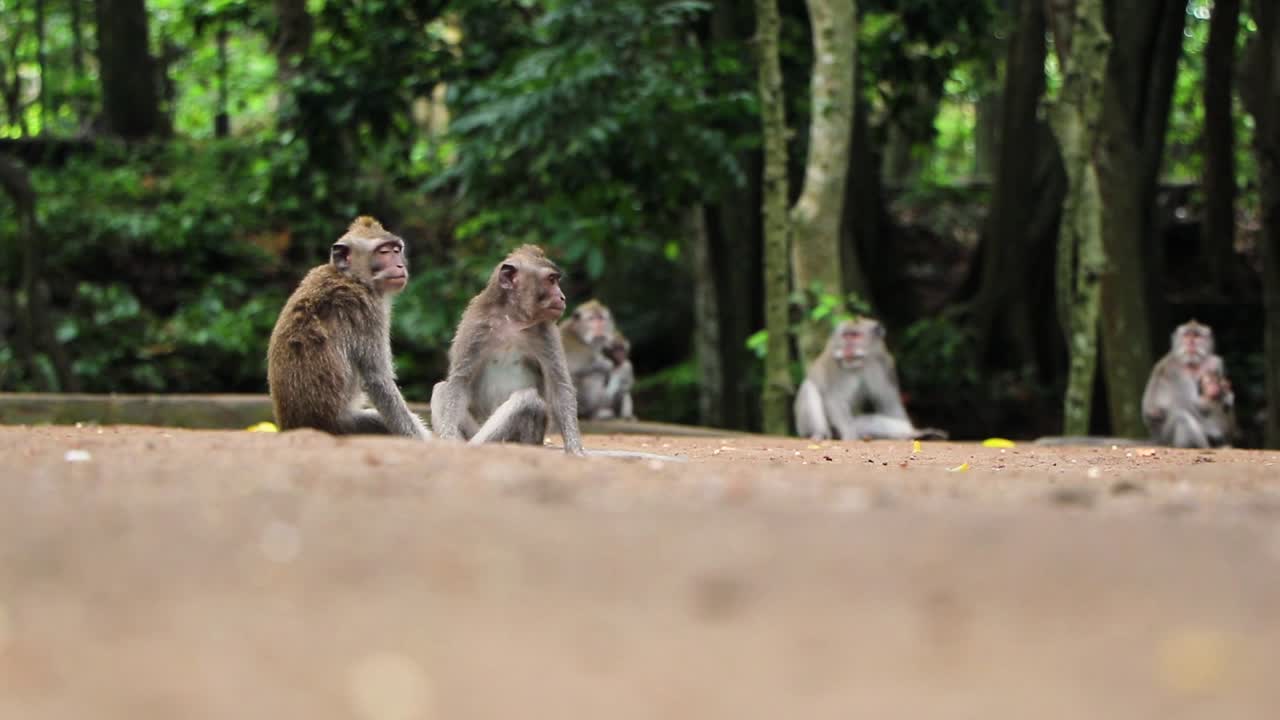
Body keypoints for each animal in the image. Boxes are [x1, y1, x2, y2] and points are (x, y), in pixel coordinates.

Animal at [267, 216, 430, 439]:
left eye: (396, 250)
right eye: (383, 252)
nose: (399, 265)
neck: (350, 277)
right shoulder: (370, 311)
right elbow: (378, 380)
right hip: (347, 427)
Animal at [430, 245, 584, 455]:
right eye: (551, 280)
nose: (562, 297)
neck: (512, 319)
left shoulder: (546, 332)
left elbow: (560, 387)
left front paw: (575, 449)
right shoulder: (474, 325)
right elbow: (459, 381)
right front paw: (447, 438)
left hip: (529, 440)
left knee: (528, 400)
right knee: (441, 389)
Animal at [793, 317, 948, 441]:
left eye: (855, 336)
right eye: (845, 336)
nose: (847, 348)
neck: (862, 361)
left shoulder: (883, 364)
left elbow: (889, 404)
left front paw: (914, 432)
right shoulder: (835, 367)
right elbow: (834, 399)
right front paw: (850, 435)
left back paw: (915, 434)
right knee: (809, 389)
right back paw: (819, 434)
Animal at [1142, 320, 1235, 448]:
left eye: (1196, 336)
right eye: (1186, 335)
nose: (1191, 342)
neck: (1192, 364)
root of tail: (1157, 440)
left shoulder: (1215, 363)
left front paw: (1226, 394)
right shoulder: (1174, 371)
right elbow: (1186, 403)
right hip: (1166, 436)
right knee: (1182, 417)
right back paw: (1201, 445)